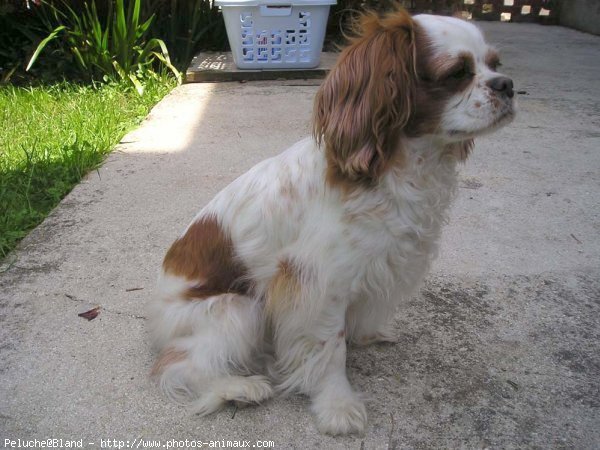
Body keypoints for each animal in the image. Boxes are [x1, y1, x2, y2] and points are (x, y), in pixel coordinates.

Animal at [149, 7, 510, 436]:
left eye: (495, 64)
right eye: (457, 72)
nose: (507, 85)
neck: (401, 167)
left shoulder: (383, 262)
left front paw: (367, 334)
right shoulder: (316, 285)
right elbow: (329, 348)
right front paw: (337, 405)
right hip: (237, 309)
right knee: (179, 366)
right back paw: (238, 387)